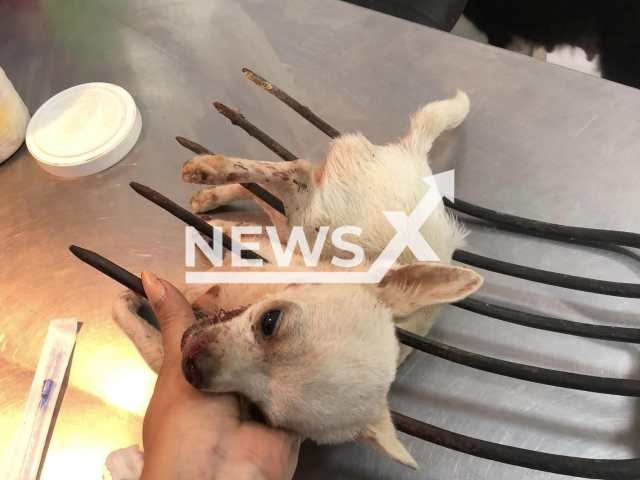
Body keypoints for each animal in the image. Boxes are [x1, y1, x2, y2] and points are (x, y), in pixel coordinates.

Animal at [112, 90, 480, 468]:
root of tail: (413, 157)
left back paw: (213, 203)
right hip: (316, 219)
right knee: (292, 174)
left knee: (275, 193)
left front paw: (134, 299)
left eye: (259, 413)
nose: (191, 366)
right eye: (270, 321)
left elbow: (147, 337)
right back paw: (209, 175)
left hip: (302, 221)